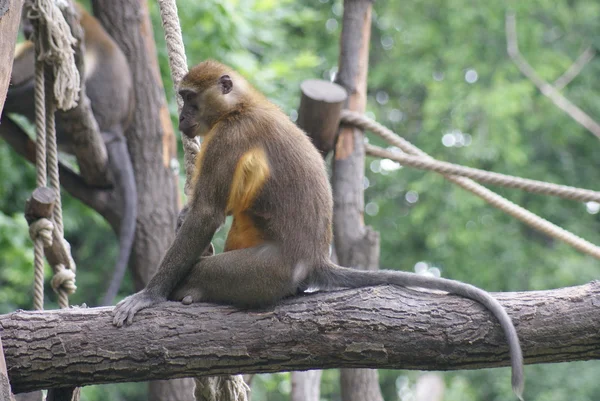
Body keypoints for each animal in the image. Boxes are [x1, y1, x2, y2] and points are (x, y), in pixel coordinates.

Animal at [112, 60, 524, 400]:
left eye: (189, 98)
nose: (182, 115)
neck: (240, 107)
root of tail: (314, 258)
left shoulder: (230, 136)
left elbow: (208, 214)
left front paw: (149, 295)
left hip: (267, 273)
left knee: (210, 269)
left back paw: (193, 287)